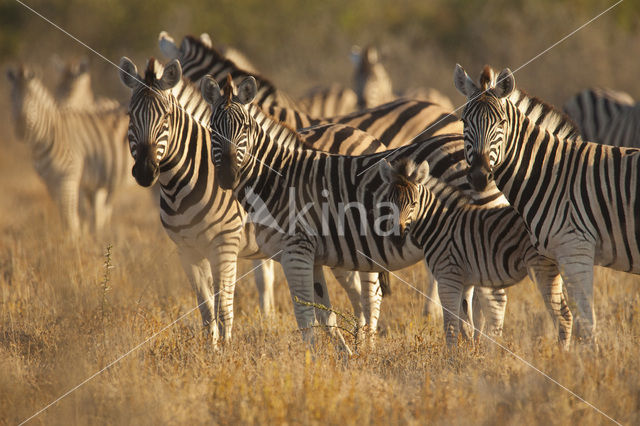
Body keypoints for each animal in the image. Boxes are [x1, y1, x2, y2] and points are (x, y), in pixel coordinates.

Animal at [6, 64, 131, 235]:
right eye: (11, 98)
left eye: (31, 99)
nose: (20, 130)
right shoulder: (51, 182)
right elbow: (69, 216)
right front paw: (76, 238)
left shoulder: (68, 178)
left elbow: (70, 217)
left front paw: (73, 240)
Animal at [378, 158, 572, 348]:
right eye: (389, 203)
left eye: (414, 203)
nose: (396, 237)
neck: (439, 223)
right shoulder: (464, 281)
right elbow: (465, 324)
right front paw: (469, 353)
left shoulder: (448, 277)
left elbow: (450, 325)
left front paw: (451, 357)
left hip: (542, 267)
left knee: (563, 316)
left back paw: (562, 353)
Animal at [452, 63, 640, 342]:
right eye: (464, 122)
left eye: (501, 123)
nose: (479, 175)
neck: (553, 174)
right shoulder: (562, 255)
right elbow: (570, 318)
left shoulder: (575, 249)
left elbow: (586, 323)